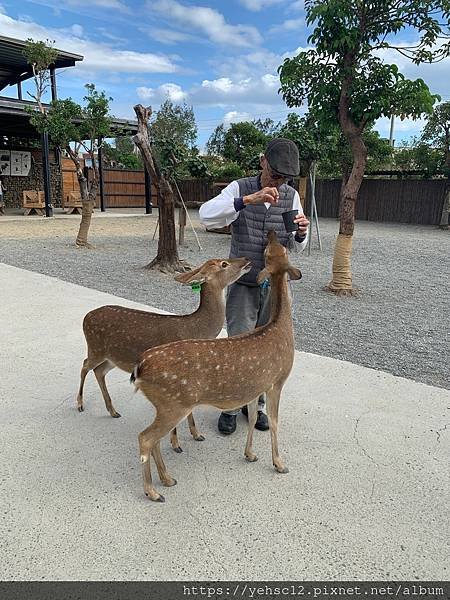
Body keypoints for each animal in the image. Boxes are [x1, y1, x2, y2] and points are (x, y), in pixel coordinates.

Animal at [78, 256, 251, 450]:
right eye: (224, 264)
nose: (246, 259)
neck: (196, 329)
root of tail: (86, 316)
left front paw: (197, 435)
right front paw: (176, 444)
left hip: (112, 357)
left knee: (99, 371)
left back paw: (113, 411)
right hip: (95, 348)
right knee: (85, 365)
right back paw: (80, 404)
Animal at [131, 230, 298, 502]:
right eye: (273, 250)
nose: (272, 234)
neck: (280, 327)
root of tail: (139, 369)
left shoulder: (256, 385)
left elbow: (254, 417)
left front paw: (250, 454)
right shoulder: (277, 380)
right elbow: (274, 421)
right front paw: (279, 463)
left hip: (166, 404)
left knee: (154, 439)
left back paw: (167, 479)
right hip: (173, 402)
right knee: (145, 438)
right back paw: (153, 492)